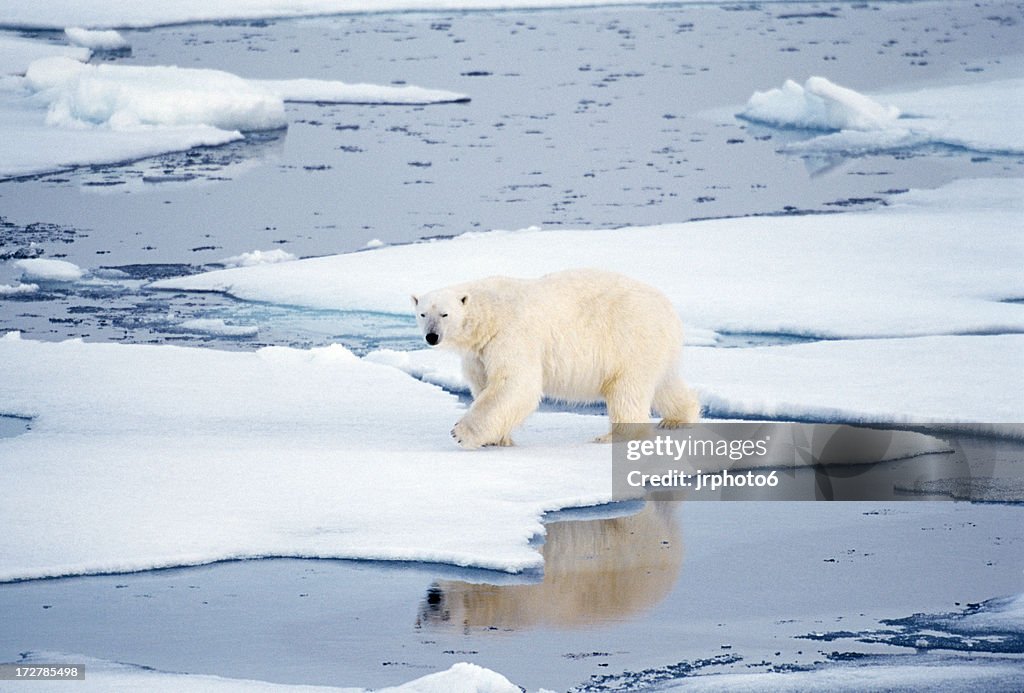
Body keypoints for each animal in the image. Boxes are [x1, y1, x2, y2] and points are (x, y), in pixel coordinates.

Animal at [411, 268, 700, 446]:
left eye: (445, 314)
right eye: (423, 314)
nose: (432, 336)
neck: (489, 315)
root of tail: (669, 310)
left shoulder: (512, 335)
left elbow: (514, 385)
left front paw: (460, 433)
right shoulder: (479, 352)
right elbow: (484, 384)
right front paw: (498, 438)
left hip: (630, 339)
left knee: (627, 391)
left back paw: (612, 437)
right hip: (654, 348)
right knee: (665, 383)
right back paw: (676, 420)